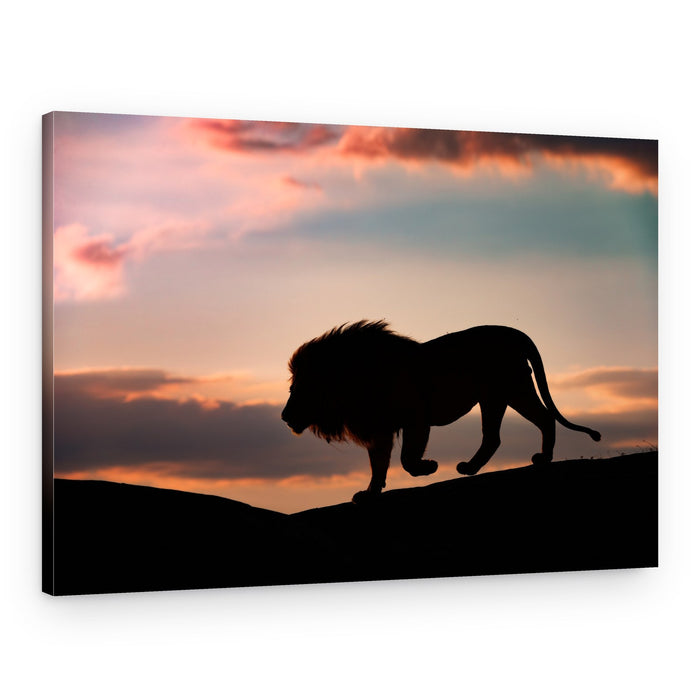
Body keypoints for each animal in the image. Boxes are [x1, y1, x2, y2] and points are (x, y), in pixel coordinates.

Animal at [281, 321, 601, 504]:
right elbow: (378, 465)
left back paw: (542, 459)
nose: (283, 416)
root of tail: (513, 333)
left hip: (513, 388)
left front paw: (429, 467)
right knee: (493, 437)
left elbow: (407, 460)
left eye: (298, 389)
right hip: (495, 397)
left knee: (544, 419)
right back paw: (470, 468)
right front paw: (370, 493)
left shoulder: (415, 419)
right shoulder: (379, 429)